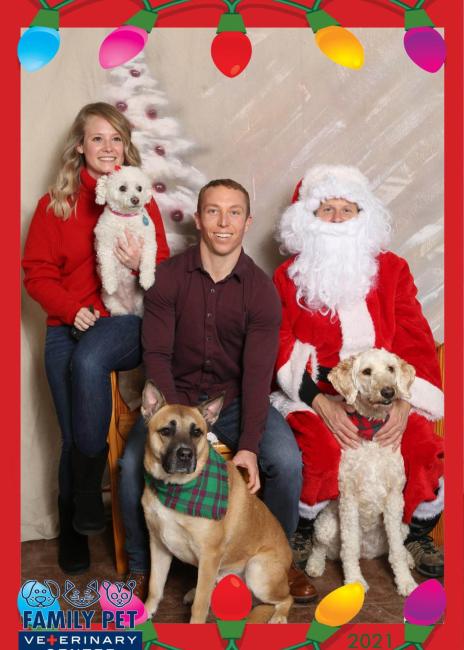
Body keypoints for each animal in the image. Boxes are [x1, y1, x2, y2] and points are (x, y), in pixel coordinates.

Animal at [94, 166, 158, 316]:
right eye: (122, 188)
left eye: (139, 188)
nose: (135, 199)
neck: (125, 218)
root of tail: (130, 309)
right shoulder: (104, 245)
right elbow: (107, 267)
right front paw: (110, 284)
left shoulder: (149, 243)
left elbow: (148, 263)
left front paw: (147, 280)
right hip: (113, 304)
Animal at [141, 380, 294, 624]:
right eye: (166, 431)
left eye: (197, 432)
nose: (185, 455)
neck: (175, 488)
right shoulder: (158, 545)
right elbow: (155, 587)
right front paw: (146, 611)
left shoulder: (209, 555)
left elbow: (200, 605)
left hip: (257, 570)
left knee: (287, 598)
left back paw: (279, 616)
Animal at [306, 346, 418, 596]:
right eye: (367, 371)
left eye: (391, 368)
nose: (388, 391)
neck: (371, 434)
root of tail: (369, 553)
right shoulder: (349, 499)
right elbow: (349, 548)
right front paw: (355, 581)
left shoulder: (395, 499)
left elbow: (396, 550)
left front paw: (405, 582)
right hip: (326, 525)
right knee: (320, 546)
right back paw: (314, 565)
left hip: (403, 525)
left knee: (395, 547)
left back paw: (408, 558)